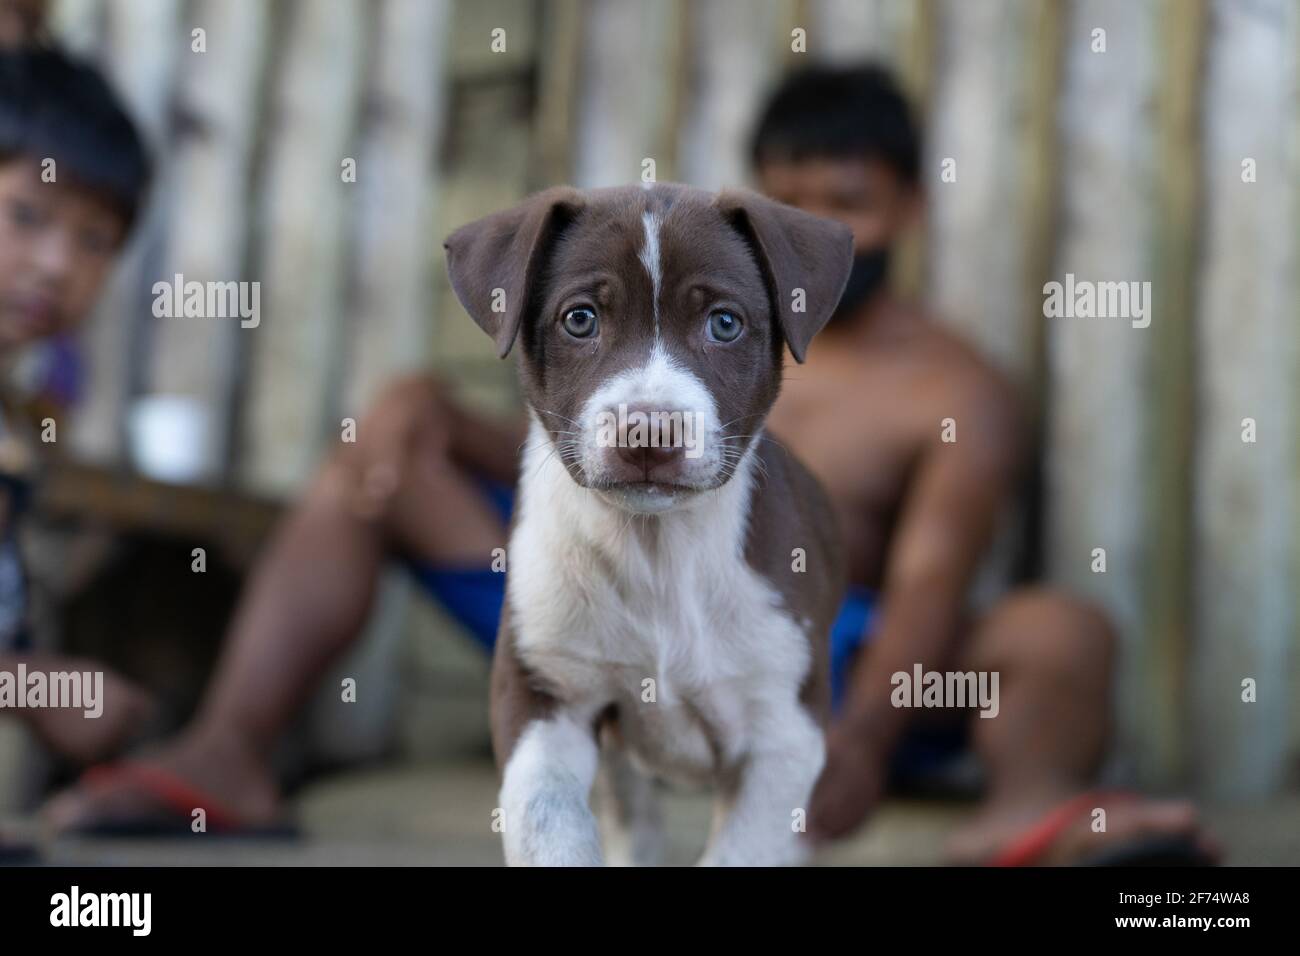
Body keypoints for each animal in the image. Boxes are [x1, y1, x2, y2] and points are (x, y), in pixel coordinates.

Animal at [447, 180, 852, 868]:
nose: (649, 432)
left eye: (724, 323)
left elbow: (741, 851)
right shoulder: (545, 692)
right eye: (580, 319)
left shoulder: (783, 730)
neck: (657, 547)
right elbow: (547, 821)